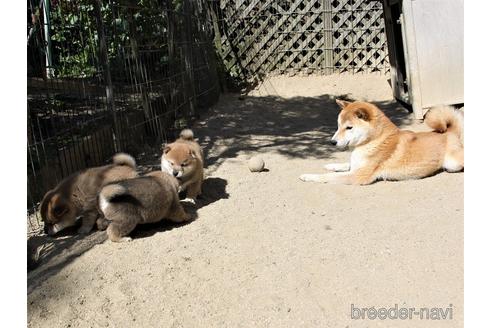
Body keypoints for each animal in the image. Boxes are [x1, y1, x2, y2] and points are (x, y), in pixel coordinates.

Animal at [298, 99, 464, 184]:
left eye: (349, 127)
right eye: (338, 126)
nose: (332, 142)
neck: (373, 141)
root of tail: (450, 132)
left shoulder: (359, 175)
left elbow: (328, 177)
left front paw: (309, 176)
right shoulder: (356, 166)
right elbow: (344, 165)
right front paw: (331, 165)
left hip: (452, 163)